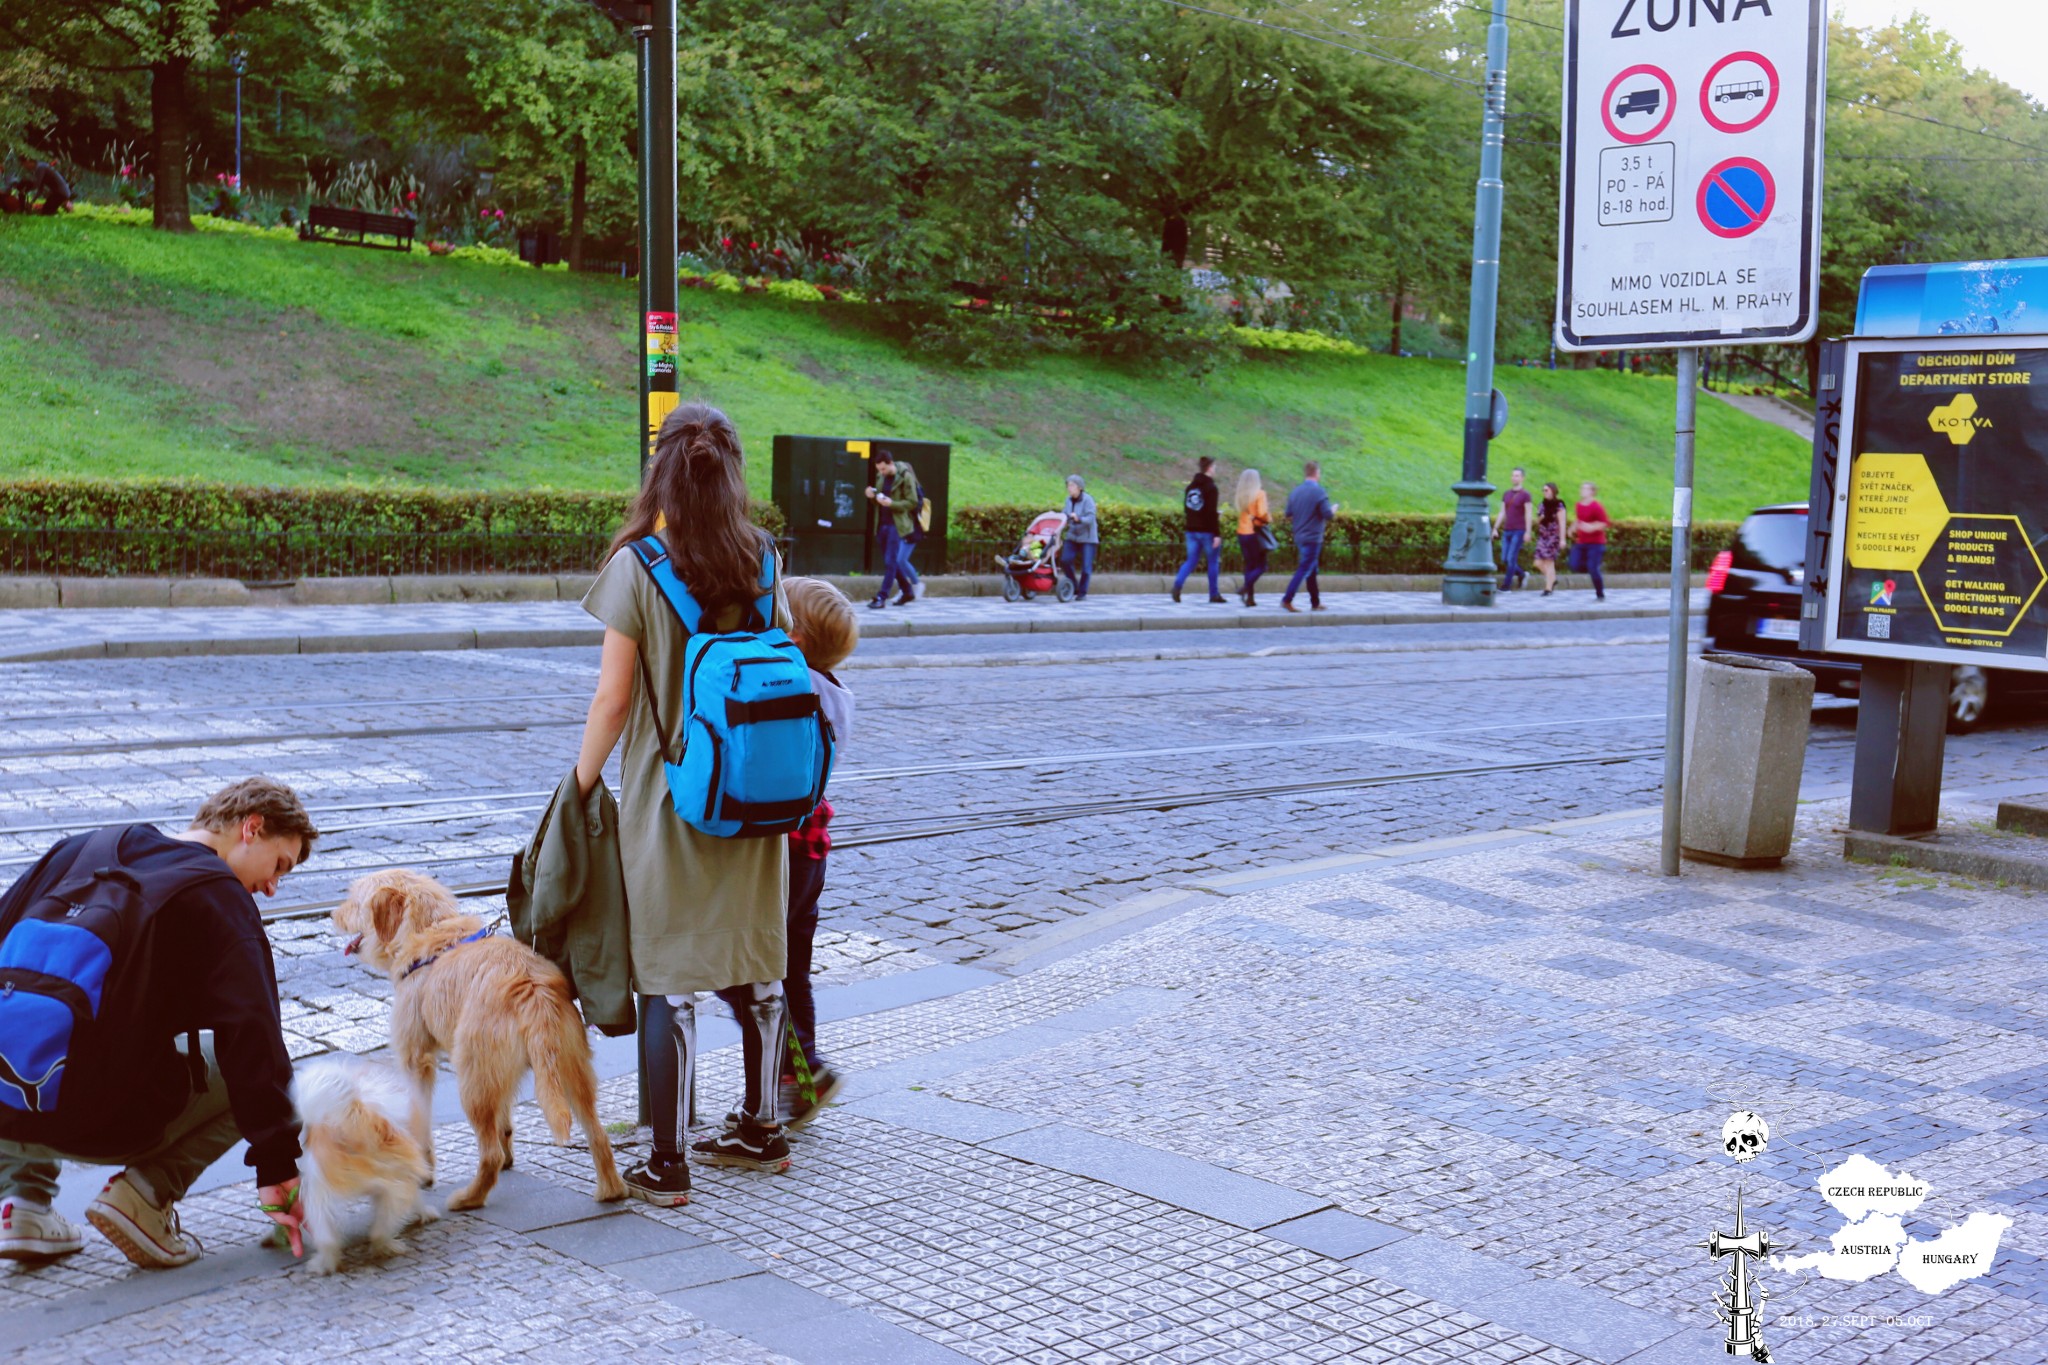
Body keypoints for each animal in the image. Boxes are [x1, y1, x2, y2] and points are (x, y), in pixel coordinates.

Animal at [290, 1055, 438, 1285]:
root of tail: (350, 1123)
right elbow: (418, 1198)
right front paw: (426, 1212)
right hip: (398, 1185)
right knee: (380, 1231)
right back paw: (387, 1246)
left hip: (316, 1196)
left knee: (328, 1239)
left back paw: (324, 1264)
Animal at [335, 871, 626, 1211]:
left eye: (355, 900)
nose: (333, 914)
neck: (429, 929)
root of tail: (532, 989)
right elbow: (505, 1119)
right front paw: (508, 1150)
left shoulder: (416, 1061)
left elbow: (420, 1119)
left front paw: (423, 1171)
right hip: (570, 1073)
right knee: (598, 1135)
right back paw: (611, 1190)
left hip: (473, 1080)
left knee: (489, 1155)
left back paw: (469, 1198)